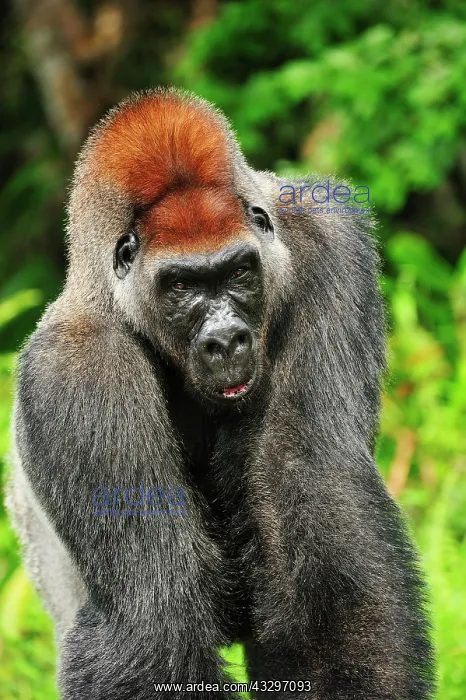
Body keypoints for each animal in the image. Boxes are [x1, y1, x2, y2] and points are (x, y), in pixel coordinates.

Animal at [6, 87, 435, 699]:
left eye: (238, 273)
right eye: (182, 285)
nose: (227, 339)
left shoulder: (324, 244)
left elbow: (316, 492)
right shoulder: (74, 371)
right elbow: (149, 607)